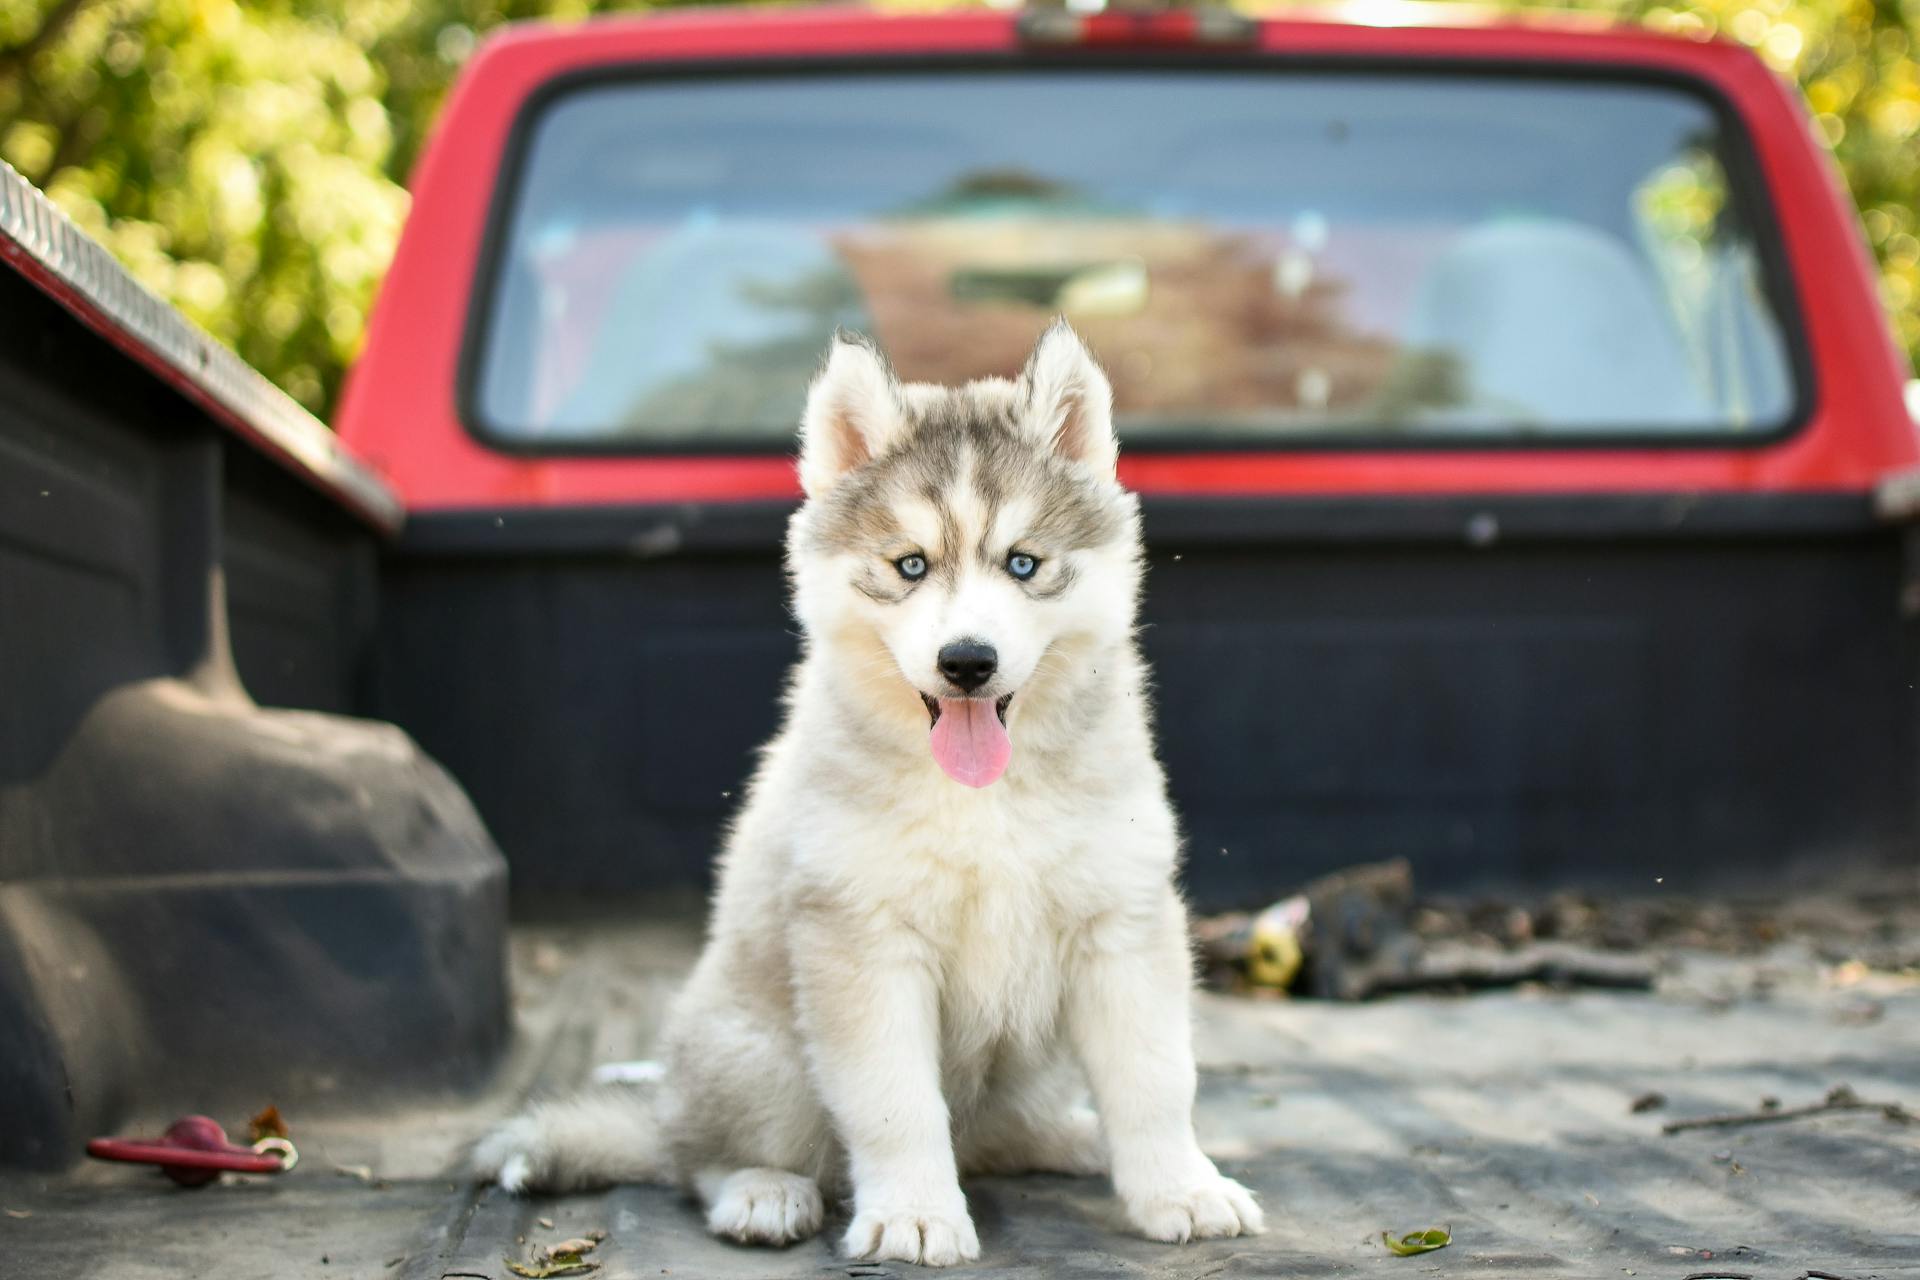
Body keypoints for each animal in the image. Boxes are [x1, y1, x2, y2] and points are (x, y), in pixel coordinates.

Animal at [474, 322, 1267, 1274]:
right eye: (910, 566)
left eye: (1024, 563)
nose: (968, 662)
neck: (981, 799)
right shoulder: (862, 941)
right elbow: (896, 1103)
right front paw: (915, 1215)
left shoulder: (1121, 922)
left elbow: (1154, 1079)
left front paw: (1181, 1189)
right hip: (763, 1059)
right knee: (699, 1160)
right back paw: (762, 1192)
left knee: (997, 1136)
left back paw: (1075, 1138)